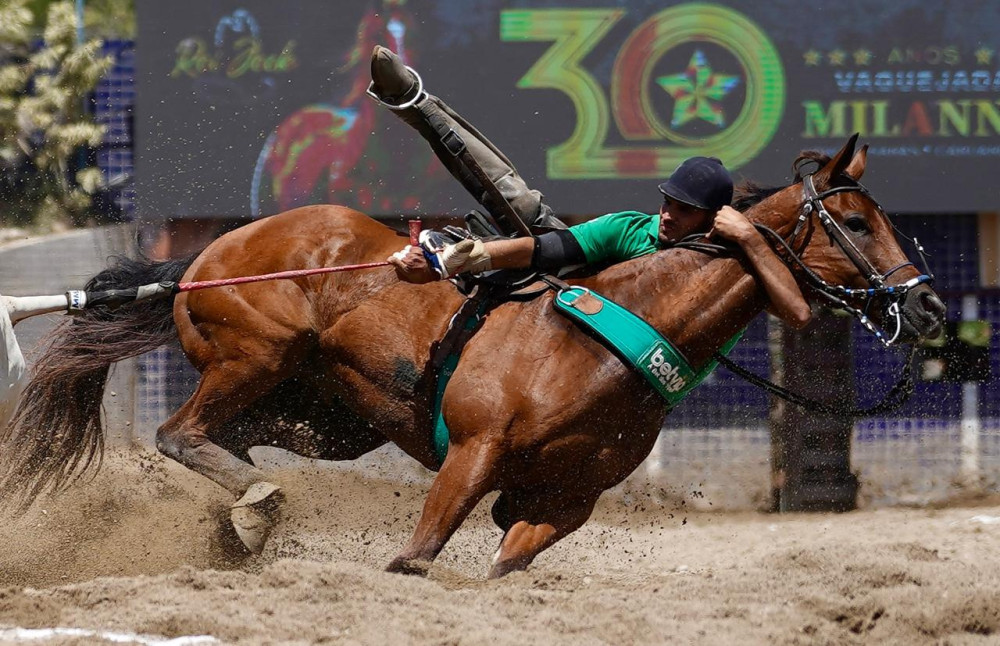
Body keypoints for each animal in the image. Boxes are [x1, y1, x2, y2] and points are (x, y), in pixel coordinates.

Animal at [1, 135, 944, 576]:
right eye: (853, 221)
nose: (929, 304)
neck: (622, 330)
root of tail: (197, 262)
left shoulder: (560, 503)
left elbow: (503, 567)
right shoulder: (475, 455)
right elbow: (416, 558)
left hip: (321, 417)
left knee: (221, 444)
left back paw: (247, 518)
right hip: (256, 357)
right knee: (180, 433)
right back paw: (258, 503)